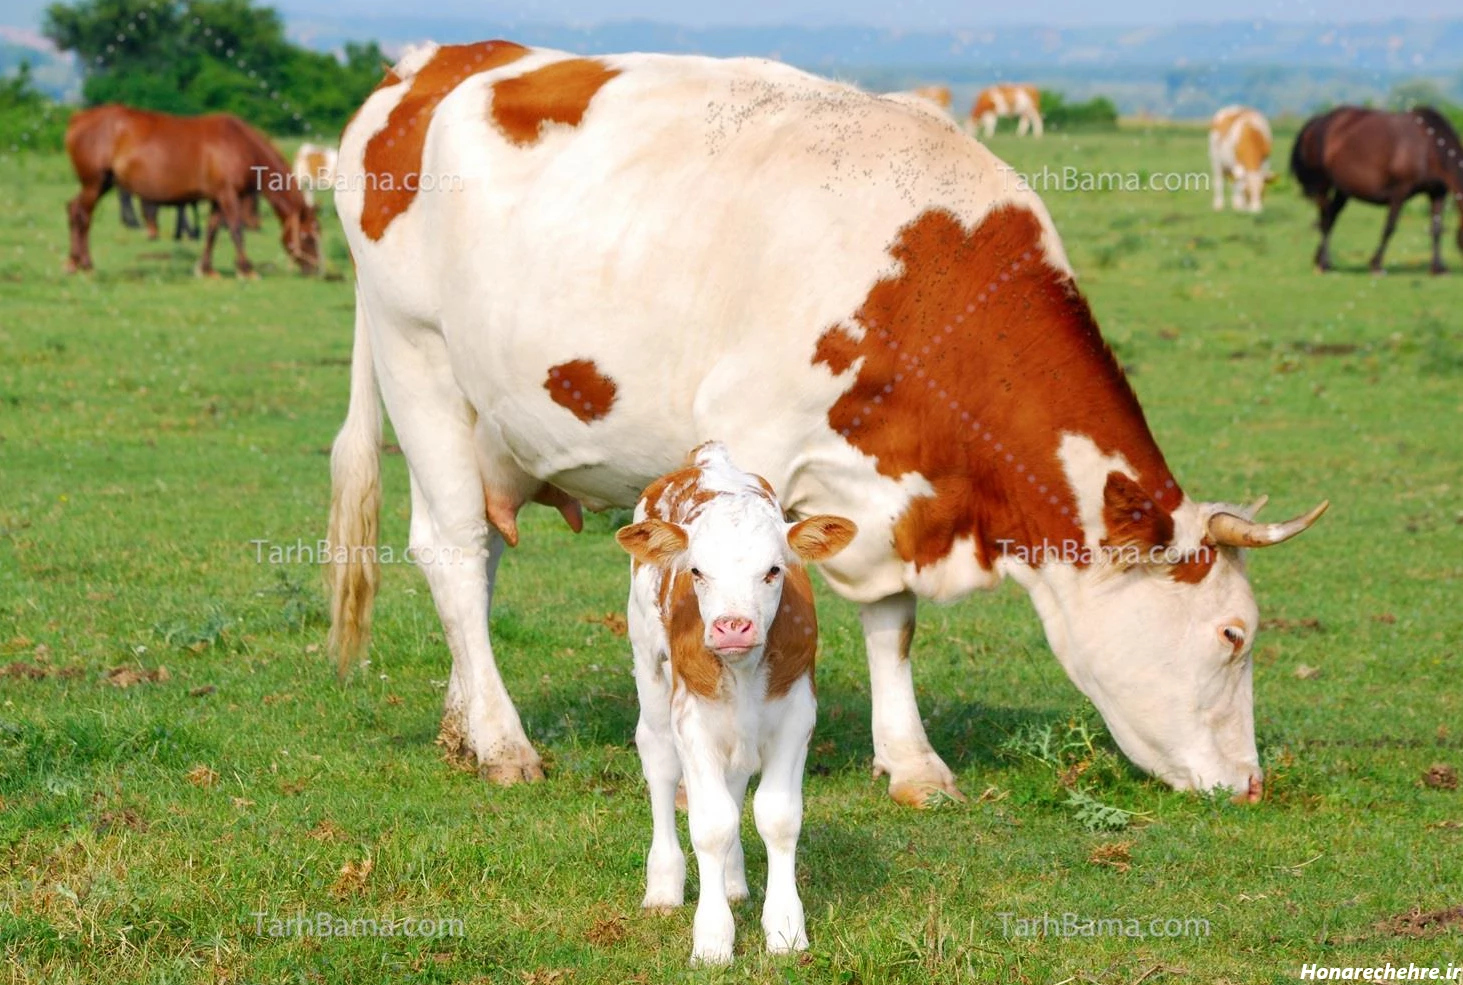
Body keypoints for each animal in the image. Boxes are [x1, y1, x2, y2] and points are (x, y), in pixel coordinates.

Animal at [66, 104, 320, 276]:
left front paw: (206, 268)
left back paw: (73, 262)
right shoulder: (229, 196)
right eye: (306, 237)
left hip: (102, 184)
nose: (315, 269)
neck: (239, 144)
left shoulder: (218, 198)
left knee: (73, 210)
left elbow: (212, 230)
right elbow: (236, 229)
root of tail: (79, 118)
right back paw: (85, 264)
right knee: (83, 216)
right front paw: (246, 269)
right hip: (94, 184)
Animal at [326, 40, 1334, 807]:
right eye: (1233, 636)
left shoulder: (890, 485)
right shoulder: (751, 442)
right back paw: (502, 743)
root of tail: (430, 61)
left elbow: (892, 624)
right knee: (453, 552)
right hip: (418, 360)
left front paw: (914, 762)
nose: (1250, 784)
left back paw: (463, 723)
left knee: (478, 556)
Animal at [614, 442, 854, 965]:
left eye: (773, 570)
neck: (743, 671)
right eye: (698, 571)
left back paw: (732, 880)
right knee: (659, 760)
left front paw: (785, 929)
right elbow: (711, 824)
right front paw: (712, 939)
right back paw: (664, 886)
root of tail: (708, 457)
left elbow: (777, 817)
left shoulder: (797, 714)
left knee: (737, 777)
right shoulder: (692, 721)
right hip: (648, 662)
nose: (732, 626)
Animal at [1293, 106, 1463, 275]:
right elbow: (1389, 227)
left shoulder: (1437, 193)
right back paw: (1324, 263)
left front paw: (1438, 268)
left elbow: (1437, 228)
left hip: (1343, 190)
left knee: (1331, 217)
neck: (1429, 145)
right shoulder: (1400, 192)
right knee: (1325, 218)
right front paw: (1376, 264)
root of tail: (1318, 121)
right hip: (1323, 185)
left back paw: (1320, 259)